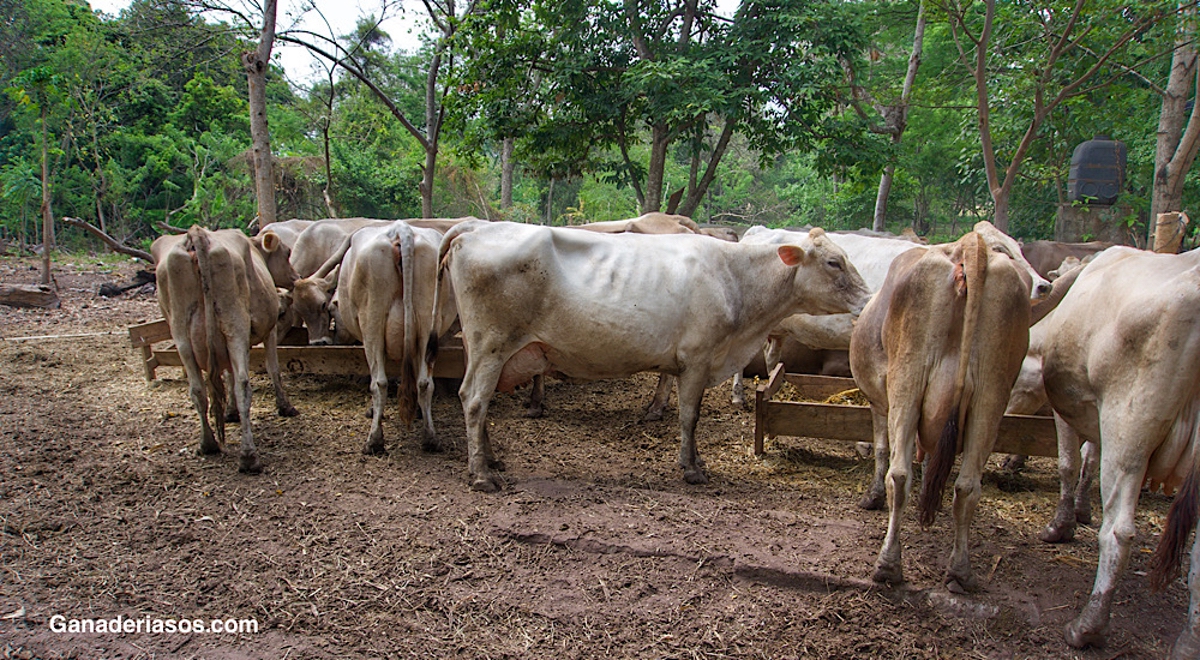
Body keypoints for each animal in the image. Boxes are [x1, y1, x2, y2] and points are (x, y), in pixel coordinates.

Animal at [152, 229, 300, 475]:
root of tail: (197, 234)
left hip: (182, 335)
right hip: (234, 326)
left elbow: (227, 374)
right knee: (243, 385)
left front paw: (230, 412)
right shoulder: (268, 330)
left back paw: (208, 444)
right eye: (287, 252)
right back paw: (248, 457)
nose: (296, 277)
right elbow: (273, 369)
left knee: (197, 389)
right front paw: (285, 406)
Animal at [436, 220, 868, 492]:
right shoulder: (697, 358)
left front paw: (696, 461)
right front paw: (691, 469)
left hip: (484, 348)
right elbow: (689, 416)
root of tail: (474, 226)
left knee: (478, 402)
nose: (869, 299)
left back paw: (490, 460)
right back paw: (481, 476)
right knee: (474, 400)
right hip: (491, 342)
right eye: (834, 262)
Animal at [1041, 247, 1200, 657]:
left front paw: (1061, 525)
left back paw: (1087, 626)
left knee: (1119, 533)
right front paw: (1081, 512)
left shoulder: (1067, 415)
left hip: (1127, 433)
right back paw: (1189, 642)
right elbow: (1087, 461)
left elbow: (1069, 464)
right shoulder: (1092, 415)